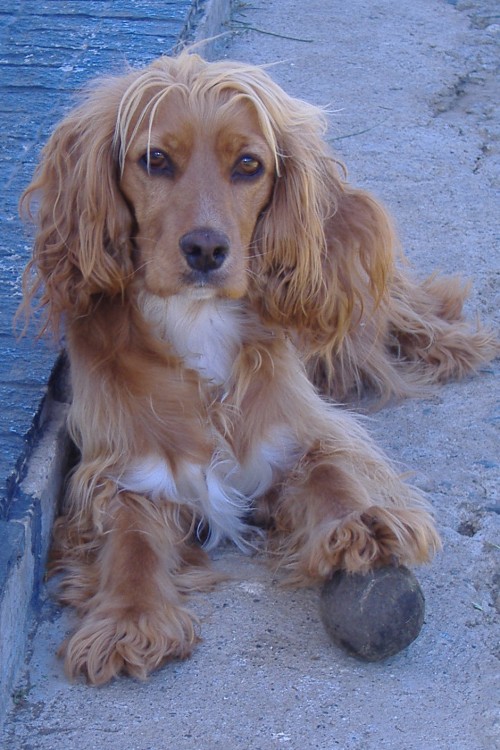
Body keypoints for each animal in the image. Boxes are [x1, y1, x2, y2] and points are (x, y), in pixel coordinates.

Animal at [19, 54, 496, 688]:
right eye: (155, 160)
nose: (204, 249)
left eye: (249, 164)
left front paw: (363, 524)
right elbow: (130, 546)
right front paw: (128, 620)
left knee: (408, 311)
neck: (197, 322)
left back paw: (457, 344)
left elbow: (332, 472)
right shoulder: (121, 469)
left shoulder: (299, 429)